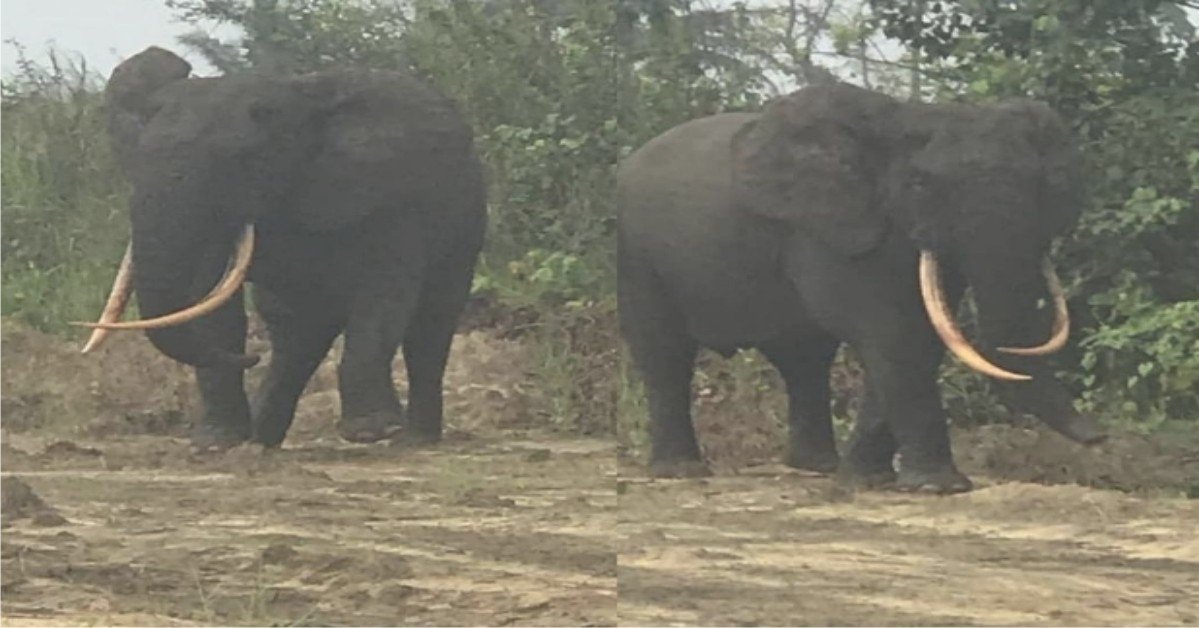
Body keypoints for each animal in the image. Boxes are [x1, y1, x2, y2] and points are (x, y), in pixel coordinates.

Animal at [79, 46, 486, 450]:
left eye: (240, 160)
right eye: (137, 156)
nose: (250, 356)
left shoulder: (388, 199)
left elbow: (384, 299)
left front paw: (372, 432)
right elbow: (207, 298)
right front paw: (216, 441)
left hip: (465, 224)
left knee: (431, 323)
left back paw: (414, 439)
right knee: (295, 330)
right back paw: (262, 438)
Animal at [617, 81, 1105, 493]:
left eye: (1040, 185)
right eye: (920, 184)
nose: (1099, 436)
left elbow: (917, 339)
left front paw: (868, 480)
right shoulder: (828, 229)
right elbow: (895, 335)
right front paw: (938, 487)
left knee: (804, 360)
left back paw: (817, 467)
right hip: (637, 253)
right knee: (664, 354)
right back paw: (681, 471)